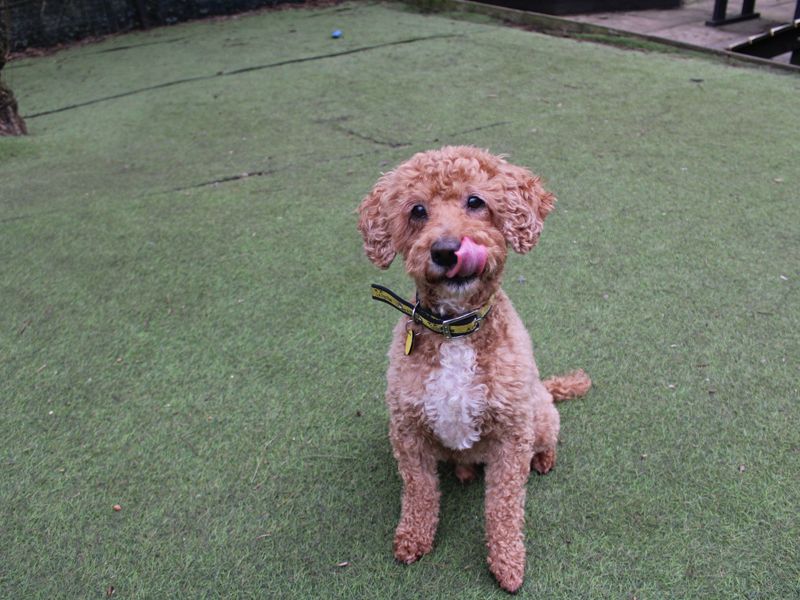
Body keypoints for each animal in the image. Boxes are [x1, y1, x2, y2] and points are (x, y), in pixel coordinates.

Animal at [360, 146, 592, 596]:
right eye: (417, 210)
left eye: (475, 201)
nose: (447, 249)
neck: (455, 329)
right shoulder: (408, 431)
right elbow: (419, 491)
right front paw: (413, 539)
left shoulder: (511, 436)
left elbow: (503, 506)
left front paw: (508, 563)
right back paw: (465, 471)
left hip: (539, 416)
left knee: (548, 439)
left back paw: (543, 460)